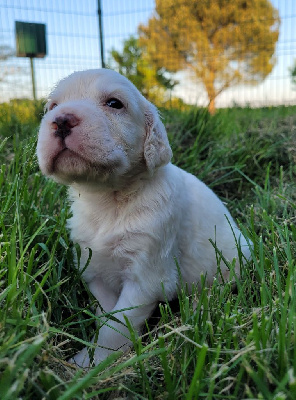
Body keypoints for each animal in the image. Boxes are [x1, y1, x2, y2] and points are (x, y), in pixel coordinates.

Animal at [36, 68, 250, 366]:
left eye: (114, 103)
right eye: (52, 107)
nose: (61, 120)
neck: (109, 199)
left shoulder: (146, 274)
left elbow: (115, 326)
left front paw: (96, 364)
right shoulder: (94, 269)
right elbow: (107, 315)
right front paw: (90, 359)